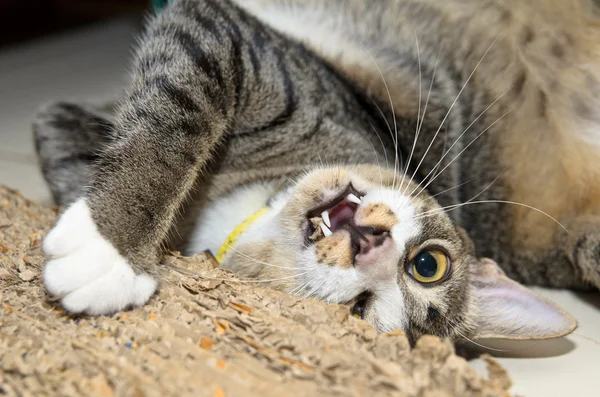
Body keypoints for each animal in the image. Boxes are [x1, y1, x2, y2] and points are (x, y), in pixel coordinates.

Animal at [34, 0, 600, 342]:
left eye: (358, 310)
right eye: (429, 264)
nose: (372, 247)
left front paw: (104, 252)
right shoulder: (237, 41)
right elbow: (171, 114)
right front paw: (114, 241)